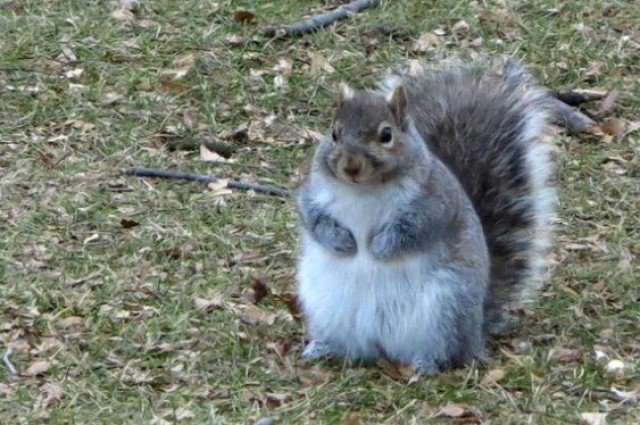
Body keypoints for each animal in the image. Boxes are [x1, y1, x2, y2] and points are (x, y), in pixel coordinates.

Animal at [295, 57, 556, 374]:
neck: (364, 189)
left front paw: (378, 248)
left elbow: (414, 230)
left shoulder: (434, 204)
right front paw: (343, 241)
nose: (351, 166)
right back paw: (323, 347)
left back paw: (426, 364)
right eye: (334, 133)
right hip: (328, 308)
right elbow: (312, 218)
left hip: (446, 309)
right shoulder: (313, 194)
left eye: (386, 135)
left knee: (449, 352)